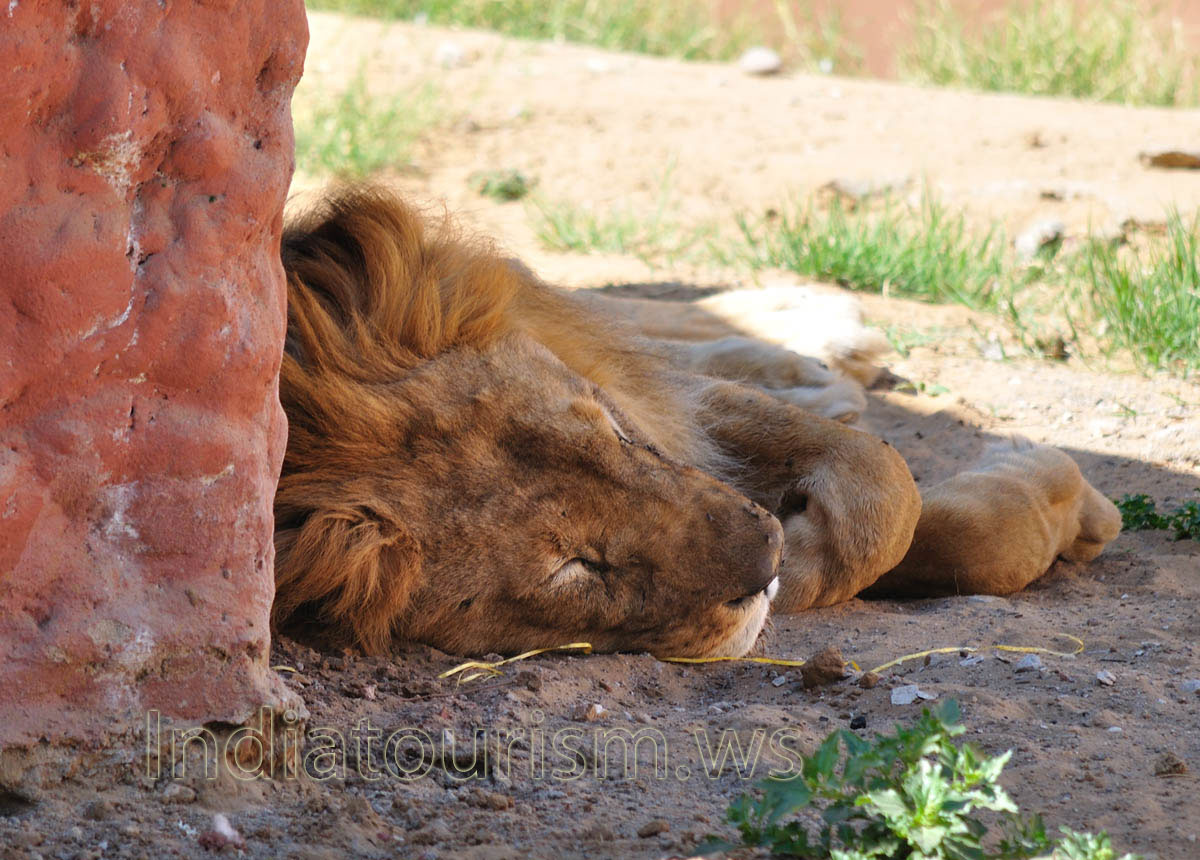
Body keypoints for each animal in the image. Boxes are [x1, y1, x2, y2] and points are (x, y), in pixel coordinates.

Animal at [272, 186, 1122, 659]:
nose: (769, 558)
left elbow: (887, 490)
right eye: (578, 568)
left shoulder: (662, 409)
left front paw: (1068, 503)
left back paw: (818, 337)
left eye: (612, 437)